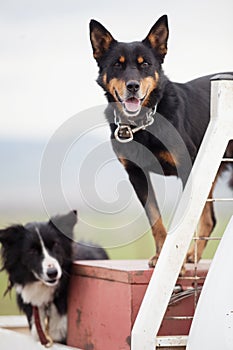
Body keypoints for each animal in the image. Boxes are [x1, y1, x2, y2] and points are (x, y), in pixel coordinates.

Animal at [89, 13, 233, 266]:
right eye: (117, 64)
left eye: (145, 64)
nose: (133, 86)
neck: (143, 123)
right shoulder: (137, 174)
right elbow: (155, 218)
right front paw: (160, 254)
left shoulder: (188, 169)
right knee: (209, 219)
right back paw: (191, 256)